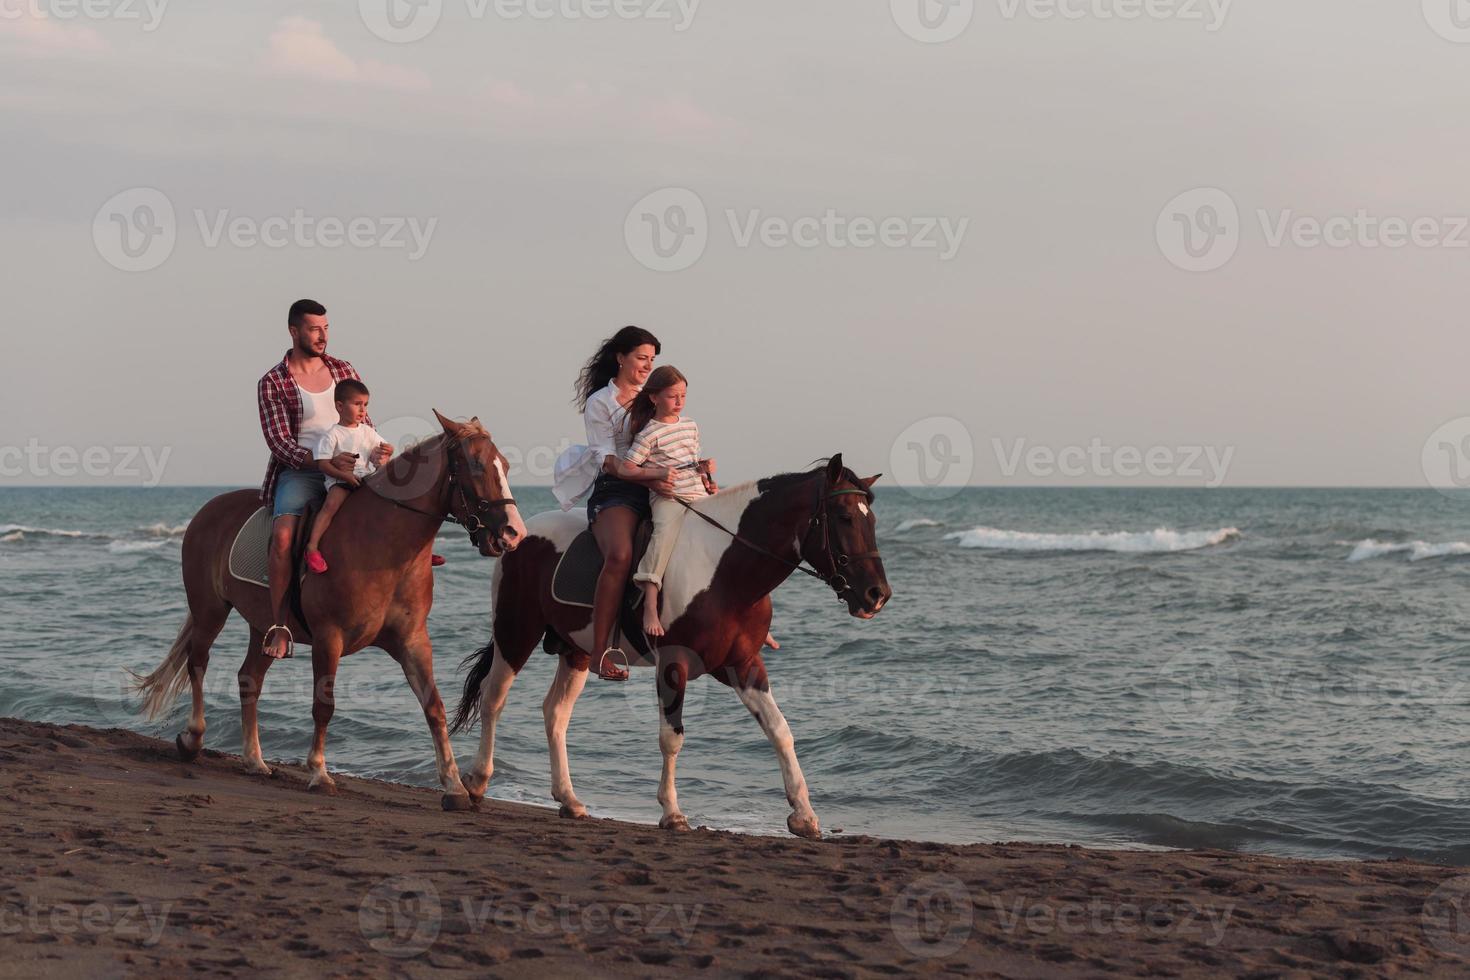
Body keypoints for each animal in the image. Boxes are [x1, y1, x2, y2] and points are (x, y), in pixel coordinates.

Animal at [129, 411, 526, 811]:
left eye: (505, 466)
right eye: (476, 465)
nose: (513, 534)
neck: (383, 546)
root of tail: (208, 510)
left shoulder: (413, 641)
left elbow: (434, 707)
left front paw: (455, 787)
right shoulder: (328, 638)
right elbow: (324, 705)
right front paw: (319, 773)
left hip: (264, 628)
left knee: (248, 678)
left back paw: (255, 760)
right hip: (210, 609)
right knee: (198, 661)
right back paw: (193, 738)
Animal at [446, 455, 887, 840]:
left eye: (872, 519)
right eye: (845, 517)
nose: (877, 594)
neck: (724, 571)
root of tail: (520, 532)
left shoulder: (744, 665)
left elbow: (780, 731)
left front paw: (804, 815)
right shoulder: (674, 664)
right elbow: (671, 737)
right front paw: (673, 813)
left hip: (576, 651)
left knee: (555, 713)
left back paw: (569, 799)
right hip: (515, 632)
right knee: (494, 698)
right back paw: (477, 781)